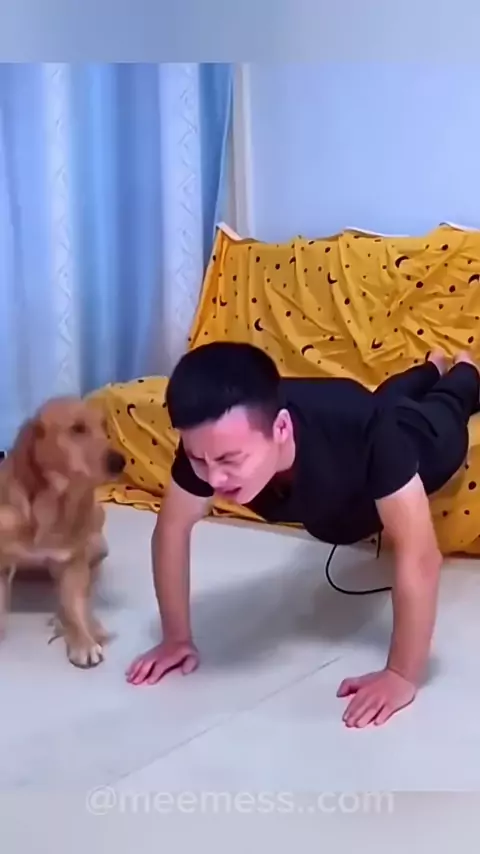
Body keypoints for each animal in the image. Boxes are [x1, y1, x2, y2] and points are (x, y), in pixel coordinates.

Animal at [0, 397, 125, 667]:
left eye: (105, 427)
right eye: (77, 429)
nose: (120, 462)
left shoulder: (71, 565)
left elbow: (75, 609)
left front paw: (83, 641)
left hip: (96, 538)